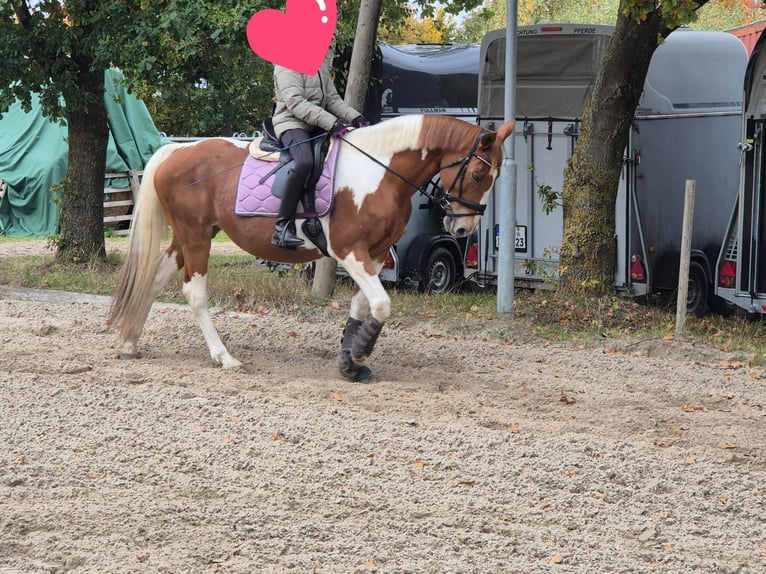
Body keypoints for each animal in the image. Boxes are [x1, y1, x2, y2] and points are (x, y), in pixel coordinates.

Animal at [107, 114, 515, 382]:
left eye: (496, 177)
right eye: (477, 173)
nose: (462, 227)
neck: (381, 171)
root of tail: (173, 152)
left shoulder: (375, 253)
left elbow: (362, 306)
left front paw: (350, 360)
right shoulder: (350, 250)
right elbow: (382, 305)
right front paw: (358, 355)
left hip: (192, 234)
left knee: (155, 279)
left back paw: (130, 342)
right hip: (196, 236)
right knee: (194, 292)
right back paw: (223, 357)